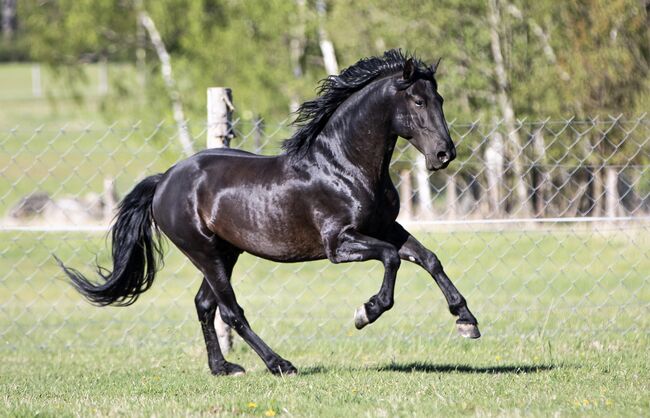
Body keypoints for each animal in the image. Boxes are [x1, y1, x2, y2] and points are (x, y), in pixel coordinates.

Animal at [58, 49, 478, 376]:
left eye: (440, 99)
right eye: (419, 102)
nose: (445, 154)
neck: (344, 165)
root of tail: (165, 180)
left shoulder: (385, 226)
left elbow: (428, 258)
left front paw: (466, 321)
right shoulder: (339, 244)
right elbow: (392, 259)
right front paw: (366, 312)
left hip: (224, 252)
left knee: (205, 305)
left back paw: (223, 368)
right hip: (203, 252)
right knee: (231, 312)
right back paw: (280, 364)